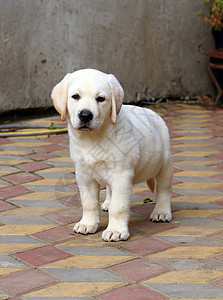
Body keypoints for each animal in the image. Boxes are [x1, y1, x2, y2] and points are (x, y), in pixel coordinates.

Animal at [51, 68, 172, 241]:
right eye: (75, 96)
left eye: (100, 99)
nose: (85, 115)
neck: (93, 138)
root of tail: (152, 112)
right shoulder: (84, 174)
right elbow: (88, 203)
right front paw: (88, 223)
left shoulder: (121, 175)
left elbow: (119, 206)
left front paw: (116, 230)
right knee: (109, 189)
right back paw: (107, 203)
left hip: (164, 163)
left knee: (164, 189)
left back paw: (161, 212)